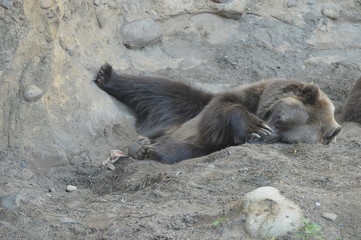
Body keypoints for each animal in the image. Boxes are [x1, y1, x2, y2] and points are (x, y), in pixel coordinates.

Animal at [95, 63, 340, 165]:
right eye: (279, 118)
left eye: (285, 140)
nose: (260, 138)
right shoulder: (245, 96)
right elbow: (223, 108)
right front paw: (255, 127)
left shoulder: (221, 142)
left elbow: (209, 144)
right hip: (182, 111)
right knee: (161, 89)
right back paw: (107, 76)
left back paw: (148, 148)